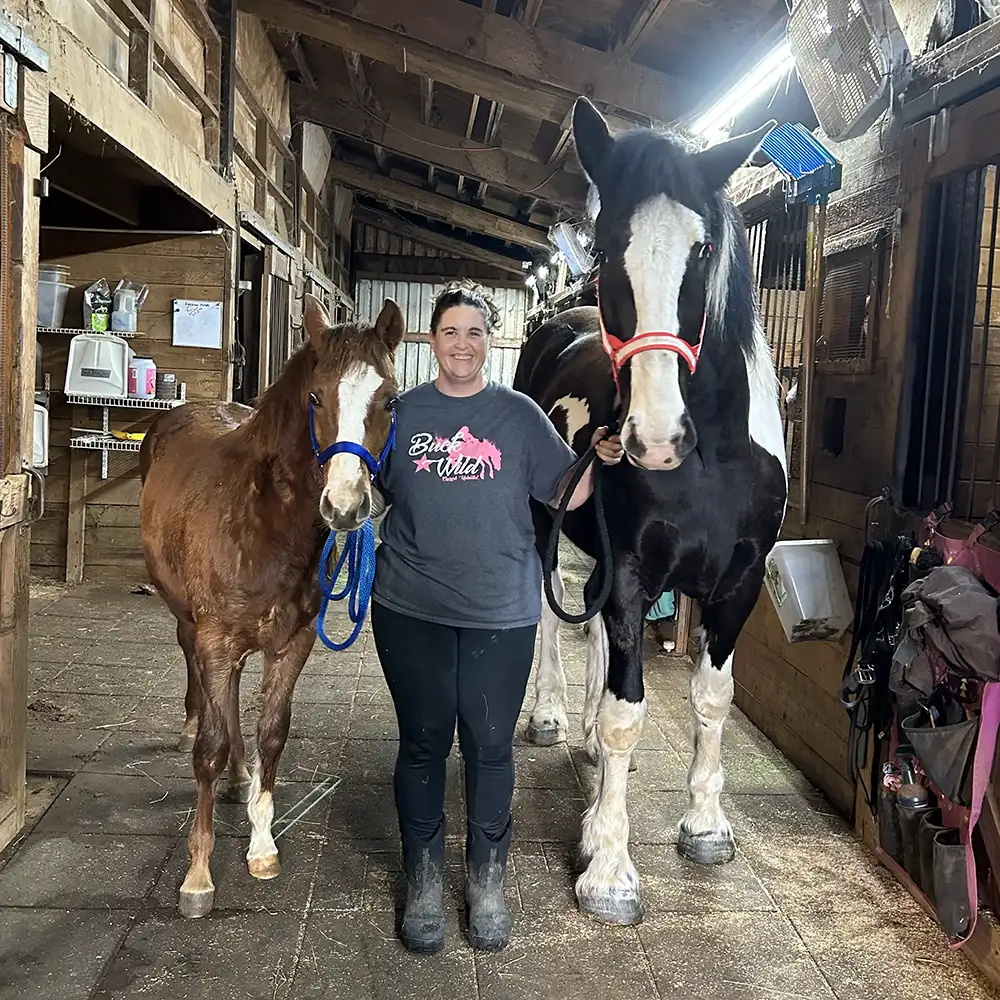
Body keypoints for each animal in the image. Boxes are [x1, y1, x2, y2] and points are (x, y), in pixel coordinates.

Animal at [138, 294, 404, 917]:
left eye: (389, 399)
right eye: (316, 397)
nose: (345, 506)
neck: (264, 520)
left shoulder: (293, 641)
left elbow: (271, 734)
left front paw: (261, 845)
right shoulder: (216, 637)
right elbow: (209, 748)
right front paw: (198, 875)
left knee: (234, 703)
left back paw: (239, 778)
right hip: (188, 620)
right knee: (197, 677)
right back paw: (196, 730)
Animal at [513, 98, 788, 925]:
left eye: (704, 248)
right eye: (607, 250)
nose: (656, 438)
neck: (711, 464)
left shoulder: (737, 583)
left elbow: (711, 697)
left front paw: (705, 826)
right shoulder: (634, 568)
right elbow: (628, 711)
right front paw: (607, 868)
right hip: (545, 527)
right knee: (553, 613)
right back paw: (551, 717)